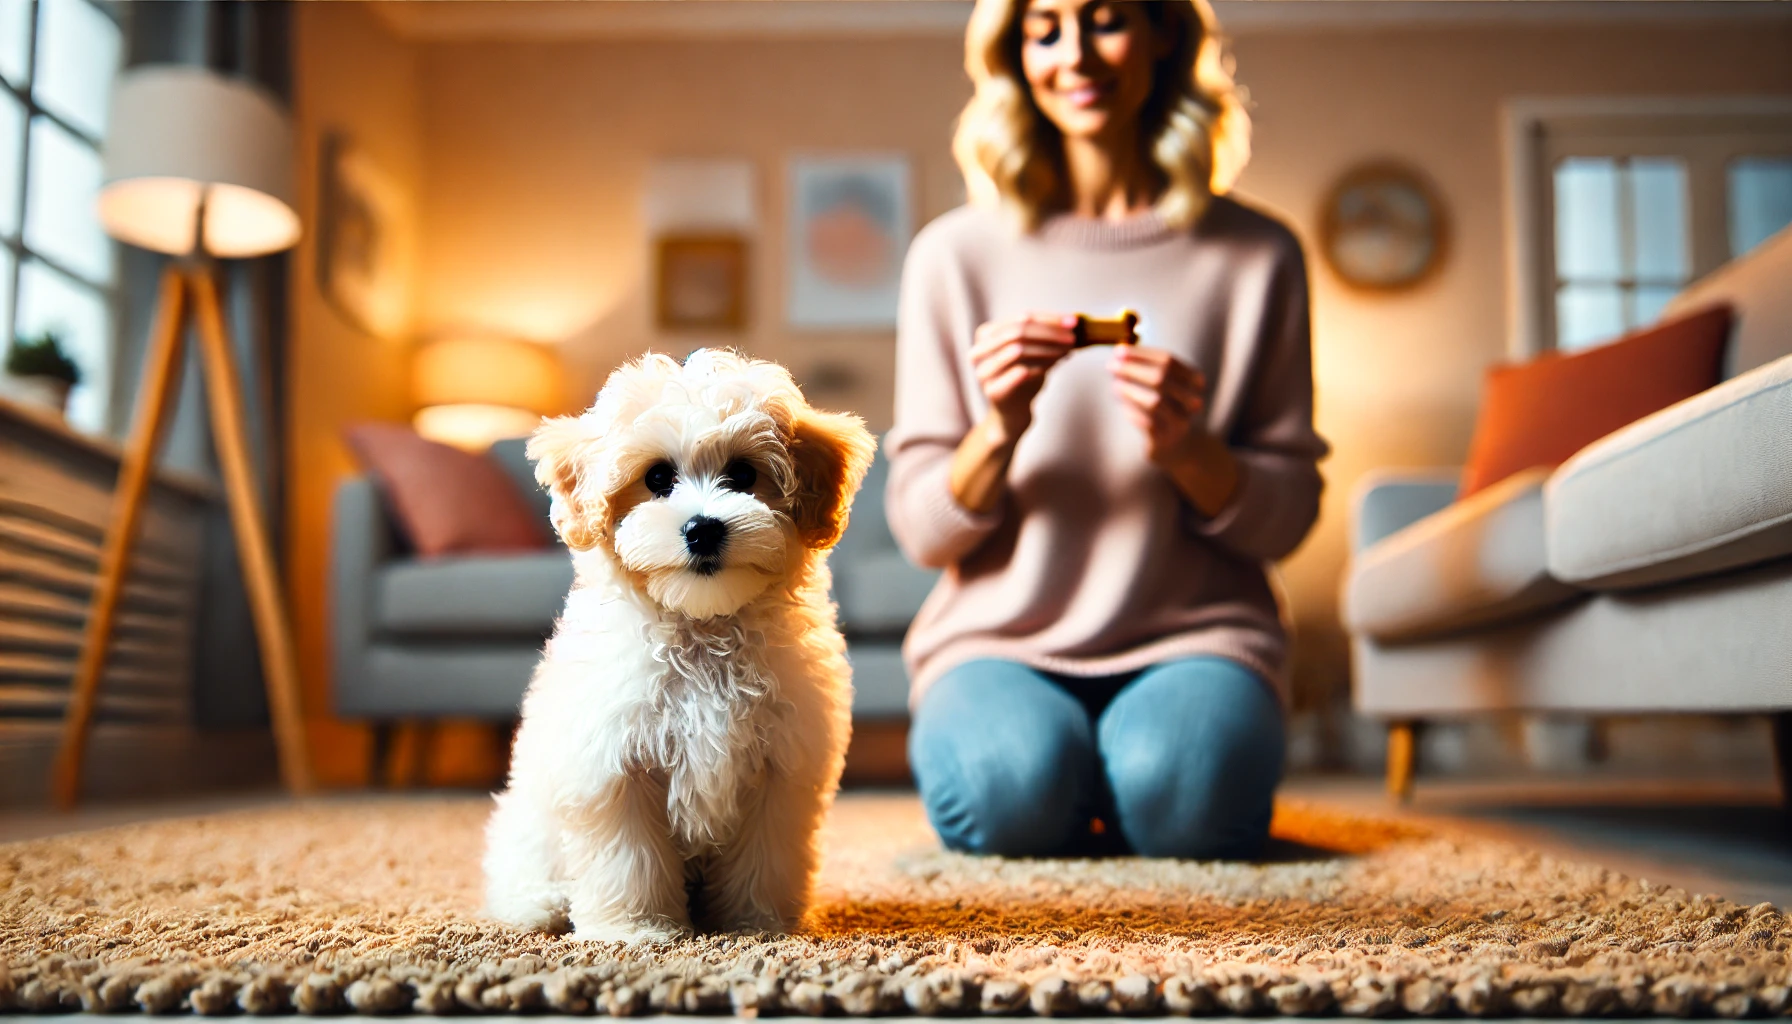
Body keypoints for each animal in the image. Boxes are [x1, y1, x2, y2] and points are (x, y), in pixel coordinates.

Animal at [483, 347, 874, 939]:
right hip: (529, 820)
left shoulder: (780, 768)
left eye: (743, 474)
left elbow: (765, 855)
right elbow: (630, 858)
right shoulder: (614, 762)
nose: (703, 528)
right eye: (657, 478)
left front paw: (757, 922)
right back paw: (538, 905)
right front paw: (636, 929)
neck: (703, 630)